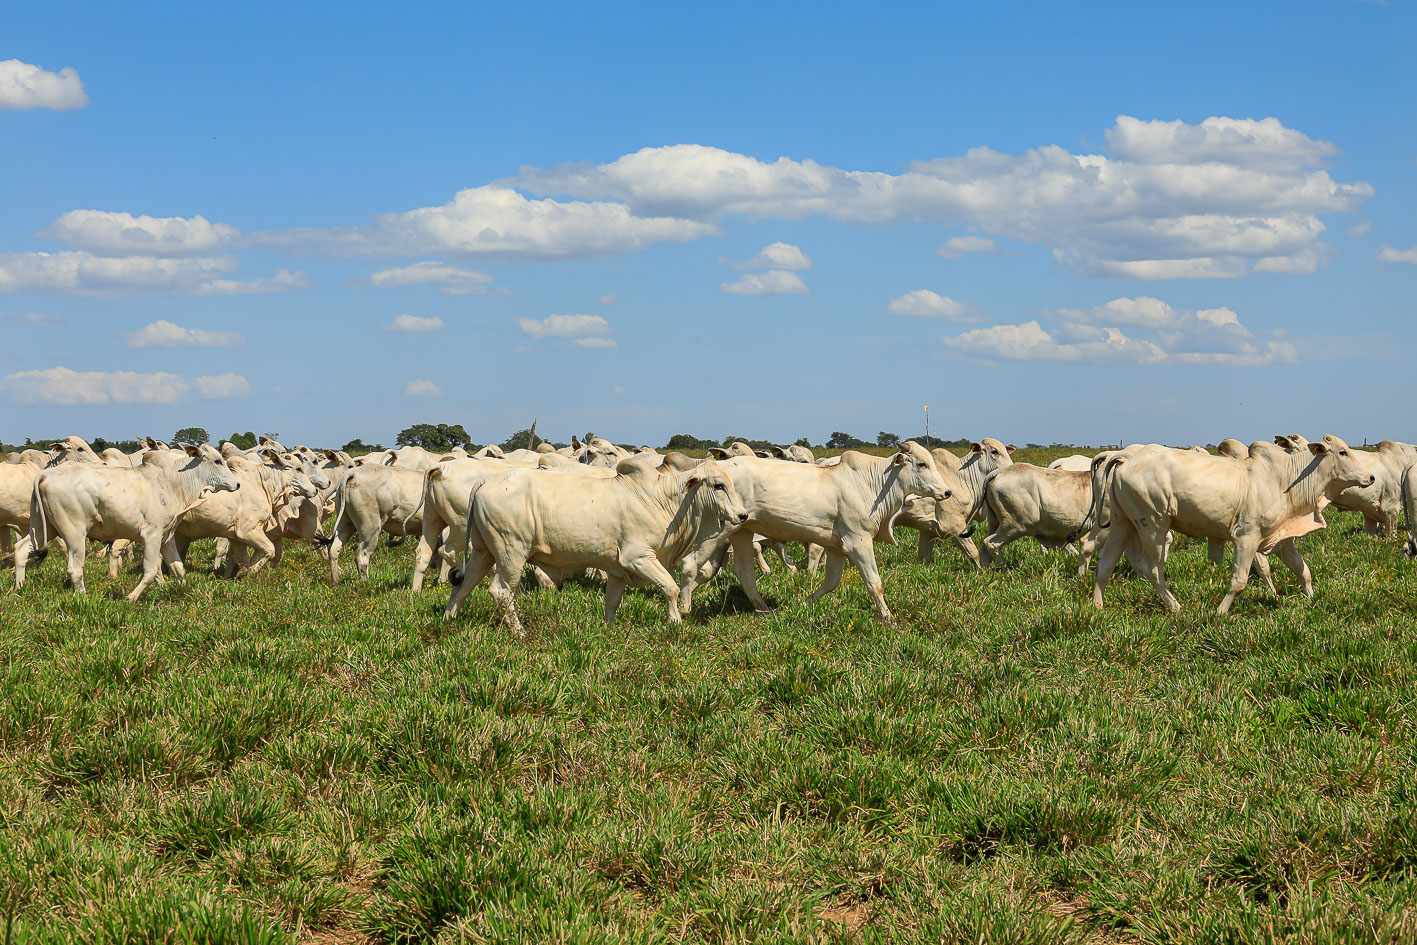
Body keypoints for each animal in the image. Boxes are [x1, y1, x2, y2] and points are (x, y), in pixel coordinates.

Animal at [23, 444, 239, 597]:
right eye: (218, 461)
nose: (237, 484)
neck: (174, 482)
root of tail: (44, 474)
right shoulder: (151, 536)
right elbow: (150, 572)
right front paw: (131, 597)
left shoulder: (166, 538)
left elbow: (179, 568)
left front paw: (185, 589)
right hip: (74, 533)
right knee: (74, 570)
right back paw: (83, 597)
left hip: (44, 528)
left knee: (20, 549)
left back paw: (19, 586)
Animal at [444, 453, 753, 631]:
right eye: (718, 485)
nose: (742, 515)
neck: (665, 499)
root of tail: (486, 481)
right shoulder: (638, 558)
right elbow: (671, 588)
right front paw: (675, 623)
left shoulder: (617, 569)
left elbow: (612, 602)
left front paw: (608, 630)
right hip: (511, 553)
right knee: (501, 592)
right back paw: (518, 632)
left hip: (483, 552)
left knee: (463, 586)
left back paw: (448, 619)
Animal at [1093, 433, 1371, 614]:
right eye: (1343, 452)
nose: (1370, 477)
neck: (1286, 480)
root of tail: (1125, 457)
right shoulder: (1246, 537)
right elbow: (1239, 581)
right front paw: (1220, 612)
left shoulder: (1280, 540)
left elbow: (1303, 570)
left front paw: (1310, 600)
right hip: (1153, 524)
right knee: (1151, 569)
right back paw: (1176, 607)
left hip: (1122, 522)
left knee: (1106, 562)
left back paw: (1097, 607)